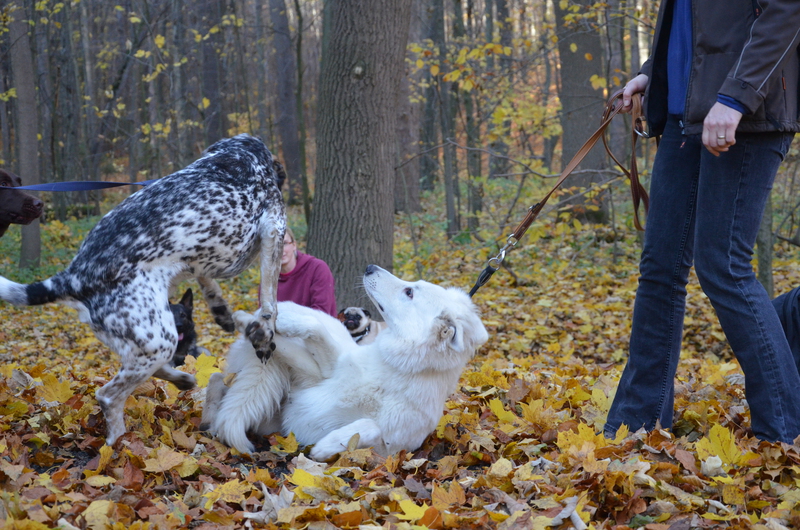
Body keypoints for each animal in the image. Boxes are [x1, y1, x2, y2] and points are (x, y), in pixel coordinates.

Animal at [0, 134, 286, 446]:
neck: (238, 153)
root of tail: (74, 276)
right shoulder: (274, 230)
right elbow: (269, 300)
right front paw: (263, 334)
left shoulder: (197, 260)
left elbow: (207, 280)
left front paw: (222, 310)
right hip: (159, 339)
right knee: (108, 397)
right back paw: (118, 444)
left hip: (145, 340)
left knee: (152, 368)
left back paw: (182, 379)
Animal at [201, 265, 489, 460]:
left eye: (409, 292)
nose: (370, 267)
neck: (395, 371)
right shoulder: (318, 374)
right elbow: (313, 328)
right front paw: (269, 322)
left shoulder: (391, 451)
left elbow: (370, 426)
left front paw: (327, 446)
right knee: (220, 380)